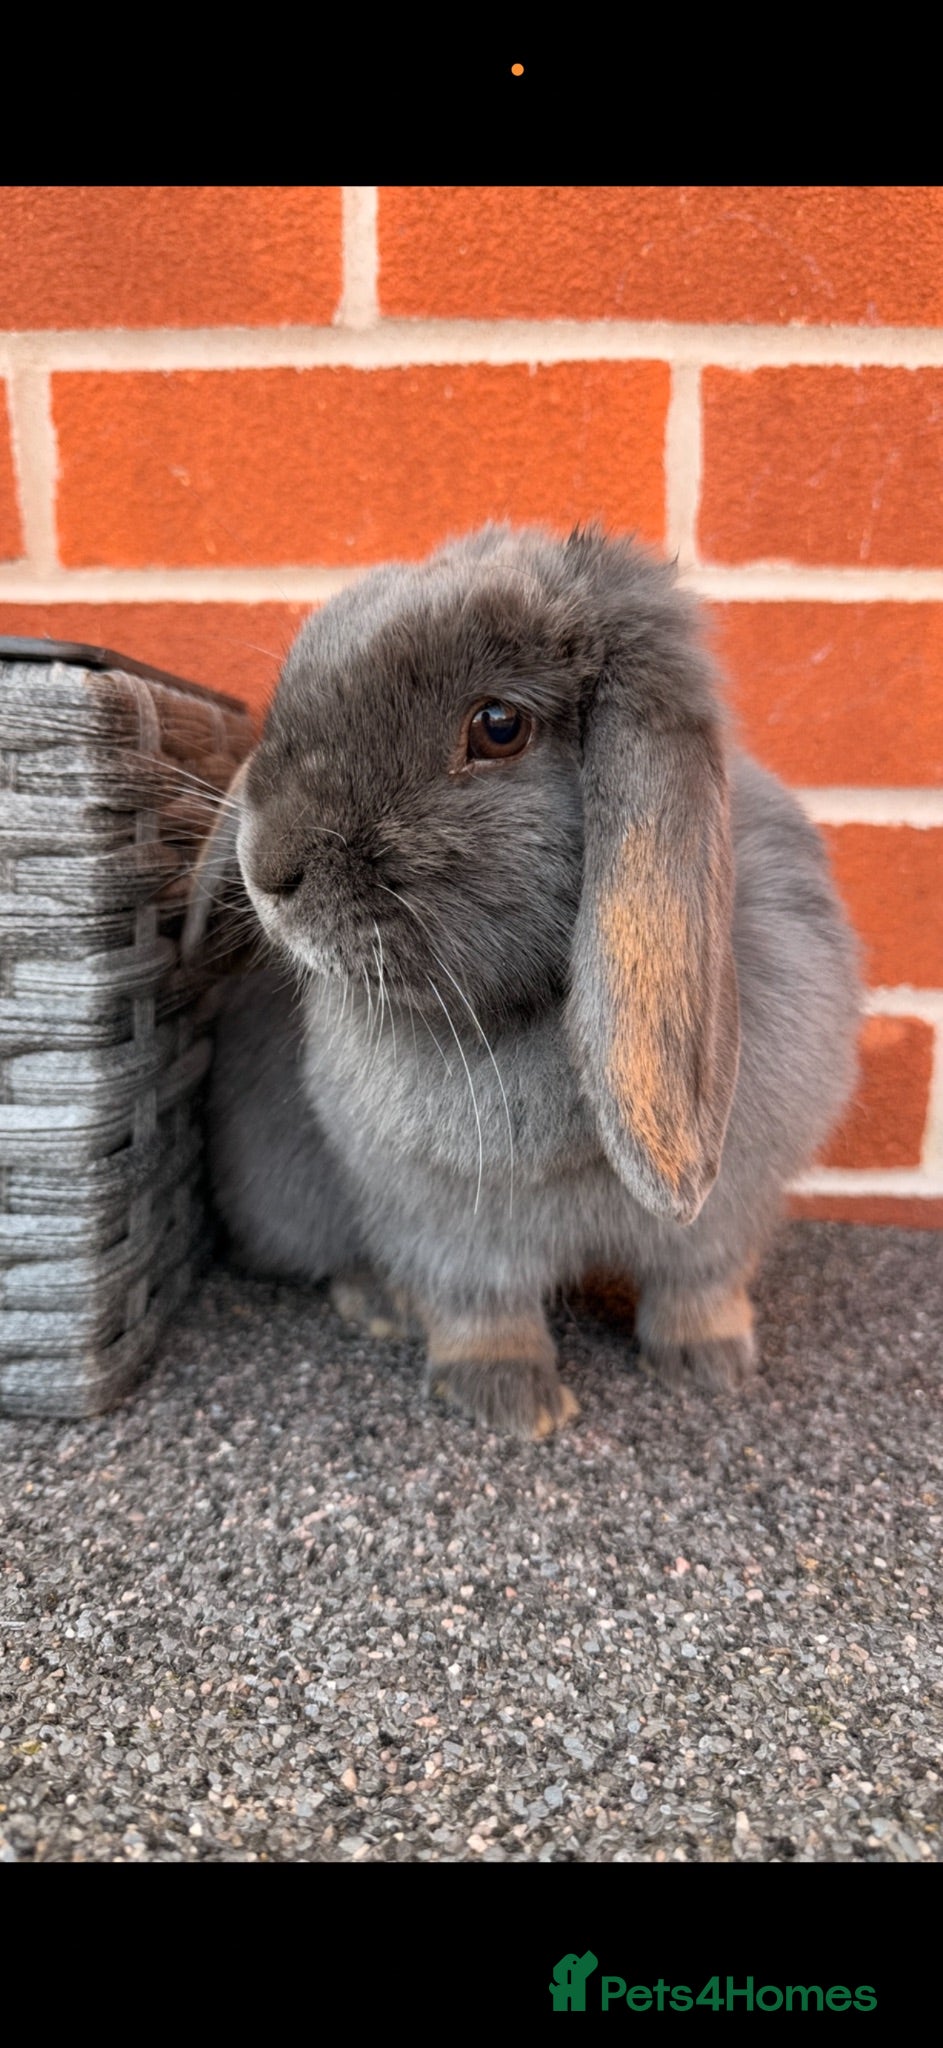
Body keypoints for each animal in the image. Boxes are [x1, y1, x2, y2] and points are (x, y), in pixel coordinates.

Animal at [184, 523, 861, 1440]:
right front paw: (512, 1403)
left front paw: (712, 1366)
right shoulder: (442, 1218)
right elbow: (482, 1308)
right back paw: (379, 1305)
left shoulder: (729, 1210)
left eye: (499, 726)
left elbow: (700, 1282)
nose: (266, 872)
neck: (532, 1006)